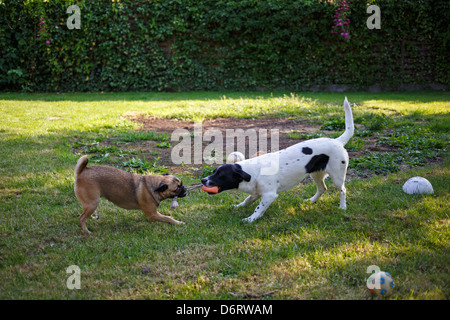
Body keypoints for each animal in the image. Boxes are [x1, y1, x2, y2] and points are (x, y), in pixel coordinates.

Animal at [201, 97, 356, 222]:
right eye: (214, 171)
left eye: (220, 174)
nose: (202, 180)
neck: (253, 171)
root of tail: (337, 141)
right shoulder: (257, 192)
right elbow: (247, 200)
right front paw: (238, 206)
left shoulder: (269, 196)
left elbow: (258, 208)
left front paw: (250, 219)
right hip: (316, 174)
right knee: (323, 188)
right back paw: (311, 201)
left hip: (337, 175)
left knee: (342, 190)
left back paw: (342, 207)